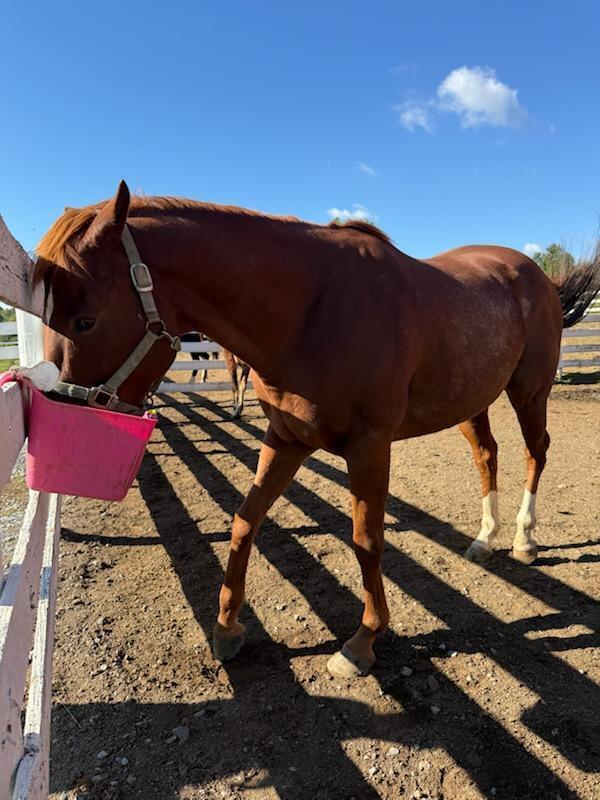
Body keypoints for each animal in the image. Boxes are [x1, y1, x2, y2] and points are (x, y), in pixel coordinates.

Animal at [35, 181, 600, 679]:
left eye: (85, 320)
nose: (65, 412)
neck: (311, 310)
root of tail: (535, 275)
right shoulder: (286, 439)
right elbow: (244, 521)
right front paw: (227, 627)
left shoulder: (369, 446)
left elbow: (366, 539)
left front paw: (363, 642)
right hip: (470, 402)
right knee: (487, 455)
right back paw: (484, 538)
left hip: (529, 392)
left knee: (536, 452)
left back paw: (525, 539)